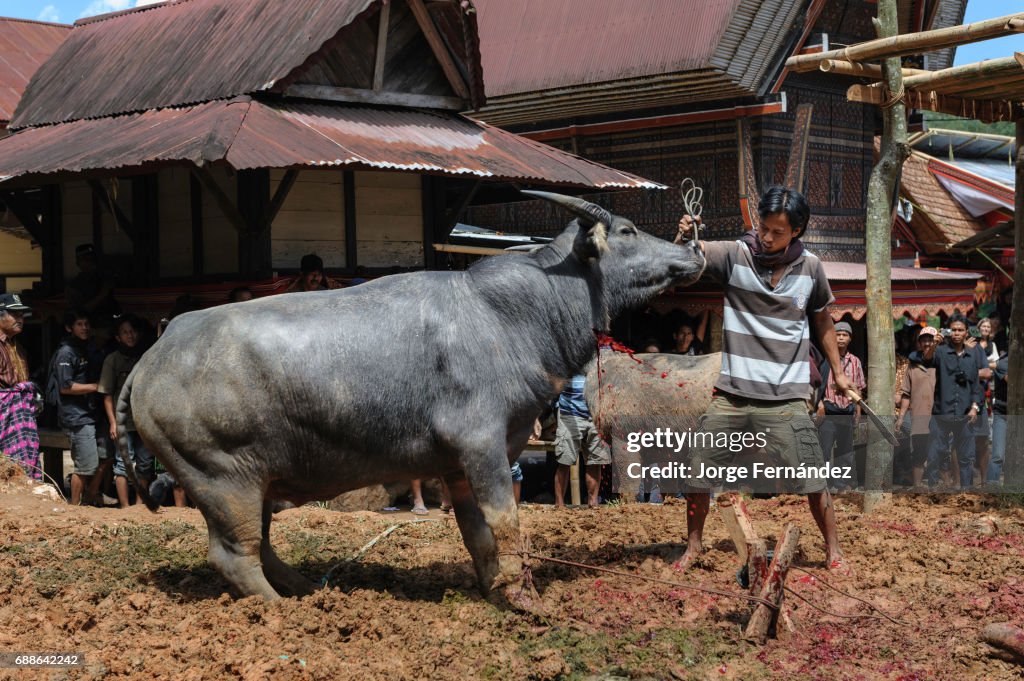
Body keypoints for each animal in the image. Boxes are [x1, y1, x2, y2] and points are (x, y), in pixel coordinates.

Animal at [112, 188, 704, 602]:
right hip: (221, 478)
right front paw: (525, 598)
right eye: (627, 230)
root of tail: (154, 353)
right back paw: (280, 608)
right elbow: (507, 522)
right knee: (234, 553)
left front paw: (494, 589)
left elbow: (477, 533)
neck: (506, 316)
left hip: (251, 481)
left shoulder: (461, 465)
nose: (693, 251)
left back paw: (304, 590)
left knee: (260, 546)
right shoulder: (483, 446)